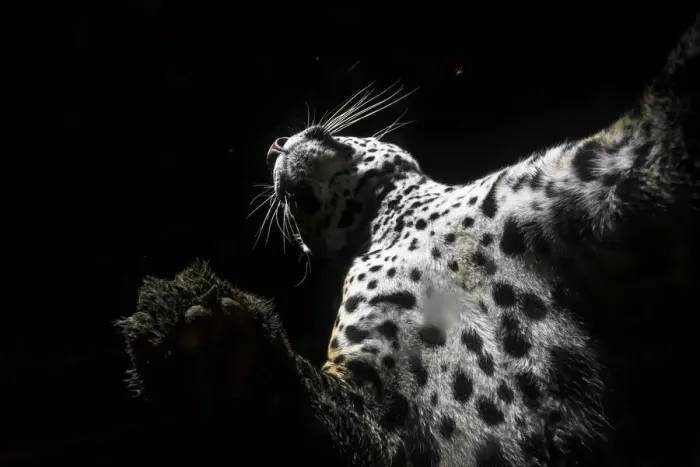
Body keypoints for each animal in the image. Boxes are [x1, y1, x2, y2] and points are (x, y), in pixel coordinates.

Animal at [117, 13, 700, 467]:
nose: (273, 144)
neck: (399, 219)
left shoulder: (611, 171)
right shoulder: (368, 401)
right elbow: (312, 406)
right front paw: (204, 344)